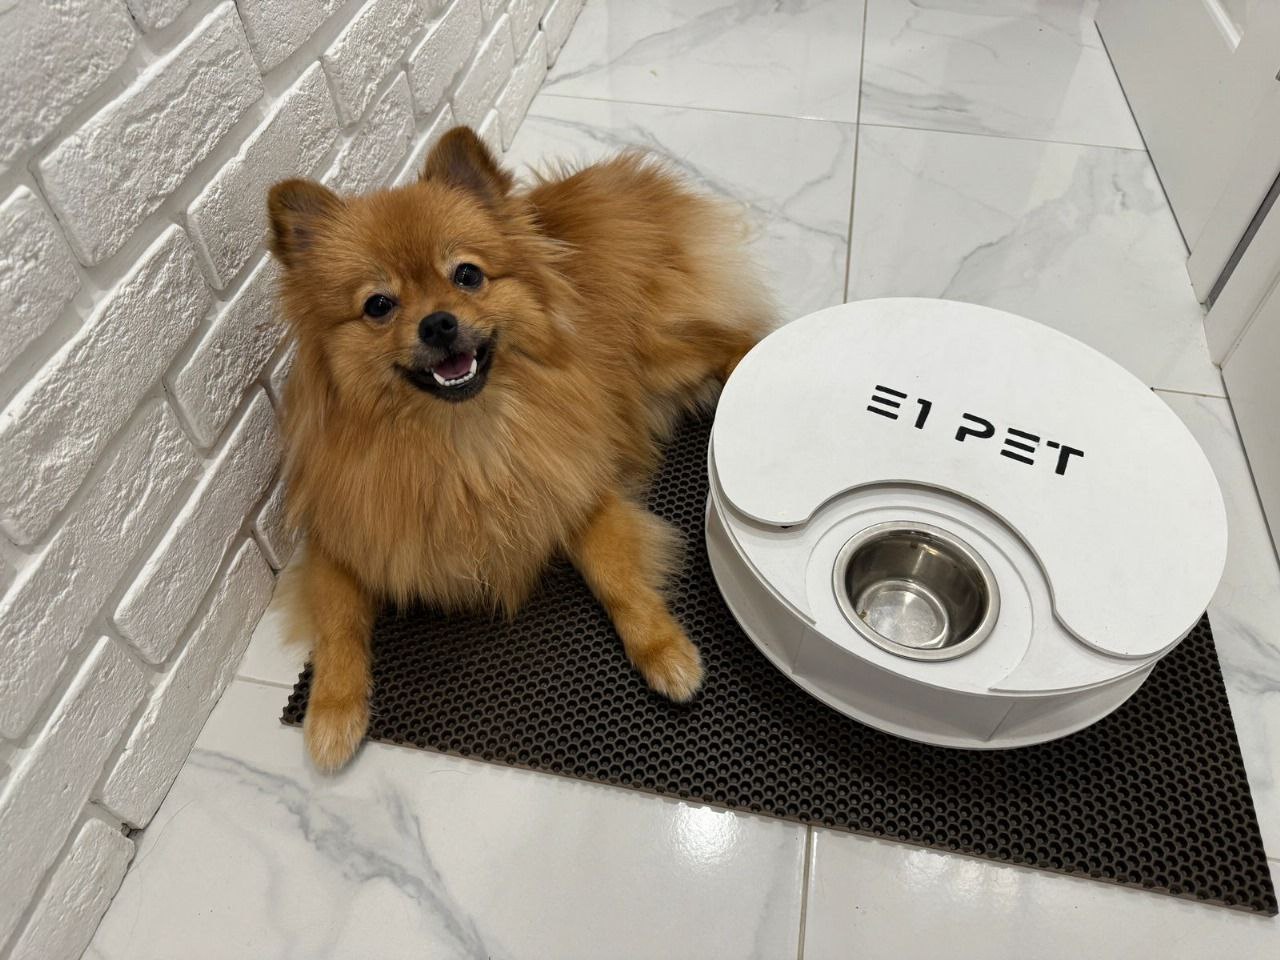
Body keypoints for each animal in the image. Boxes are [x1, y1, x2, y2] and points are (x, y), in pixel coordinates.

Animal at [267, 127, 773, 771]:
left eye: (467, 275)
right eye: (379, 305)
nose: (438, 323)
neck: (460, 439)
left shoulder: (578, 491)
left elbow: (618, 579)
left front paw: (666, 652)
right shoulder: (343, 537)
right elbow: (338, 627)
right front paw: (332, 714)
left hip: (662, 357)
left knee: (736, 339)